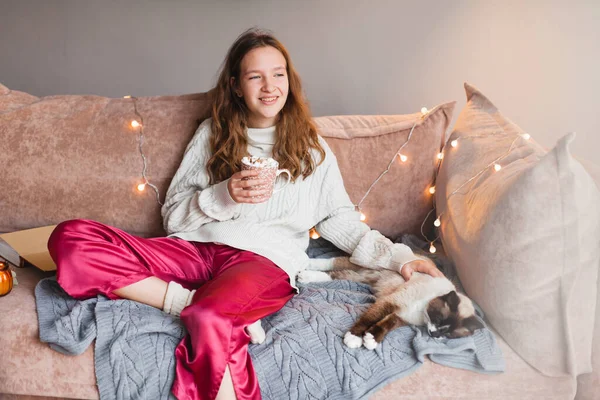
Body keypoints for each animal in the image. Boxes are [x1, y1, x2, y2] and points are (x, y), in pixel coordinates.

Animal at [298, 258, 486, 348]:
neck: (422, 313)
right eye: (439, 320)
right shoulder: (390, 303)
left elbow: (386, 325)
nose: (434, 335)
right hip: (368, 270)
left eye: (449, 334)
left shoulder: (401, 316)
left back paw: (307, 275)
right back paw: (306, 268)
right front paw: (354, 338)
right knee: (337, 262)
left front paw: (372, 339)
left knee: (337, 274)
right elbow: (368, 319)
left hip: (365, 277)